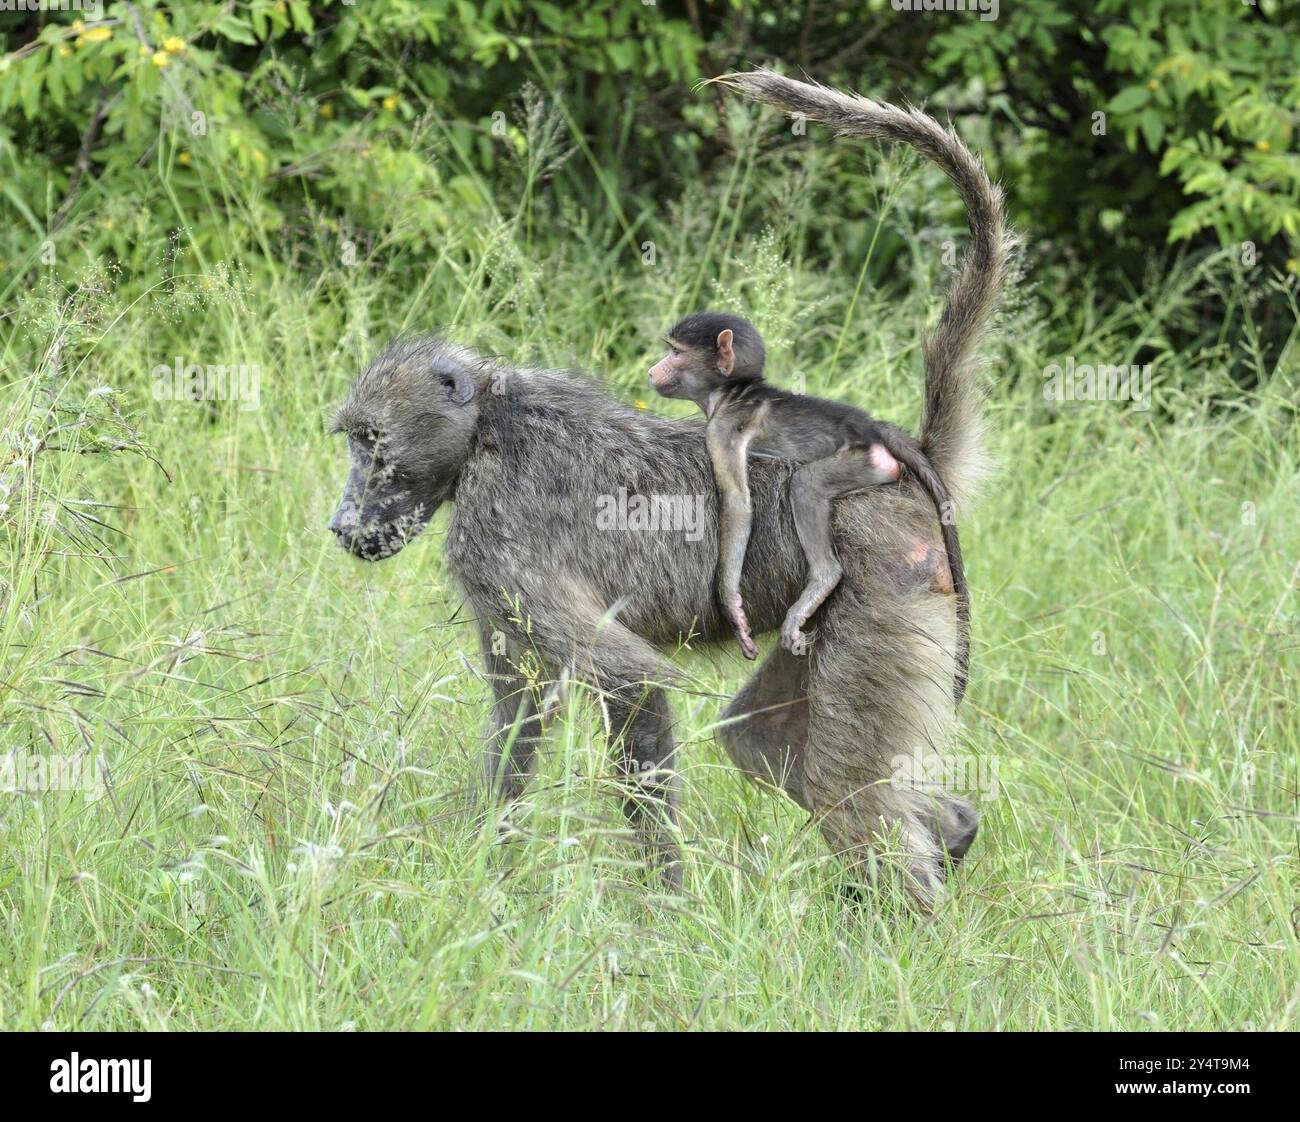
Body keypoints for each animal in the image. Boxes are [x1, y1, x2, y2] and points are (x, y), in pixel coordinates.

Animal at [648, 311, 971, 703]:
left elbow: (737, 504)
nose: (652, 370)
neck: (731, 392)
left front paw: (732, 608)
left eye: (675, 352)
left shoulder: (722, 429)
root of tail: (871, 427)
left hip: (865, 462)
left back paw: (821, 581)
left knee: (805, 485)